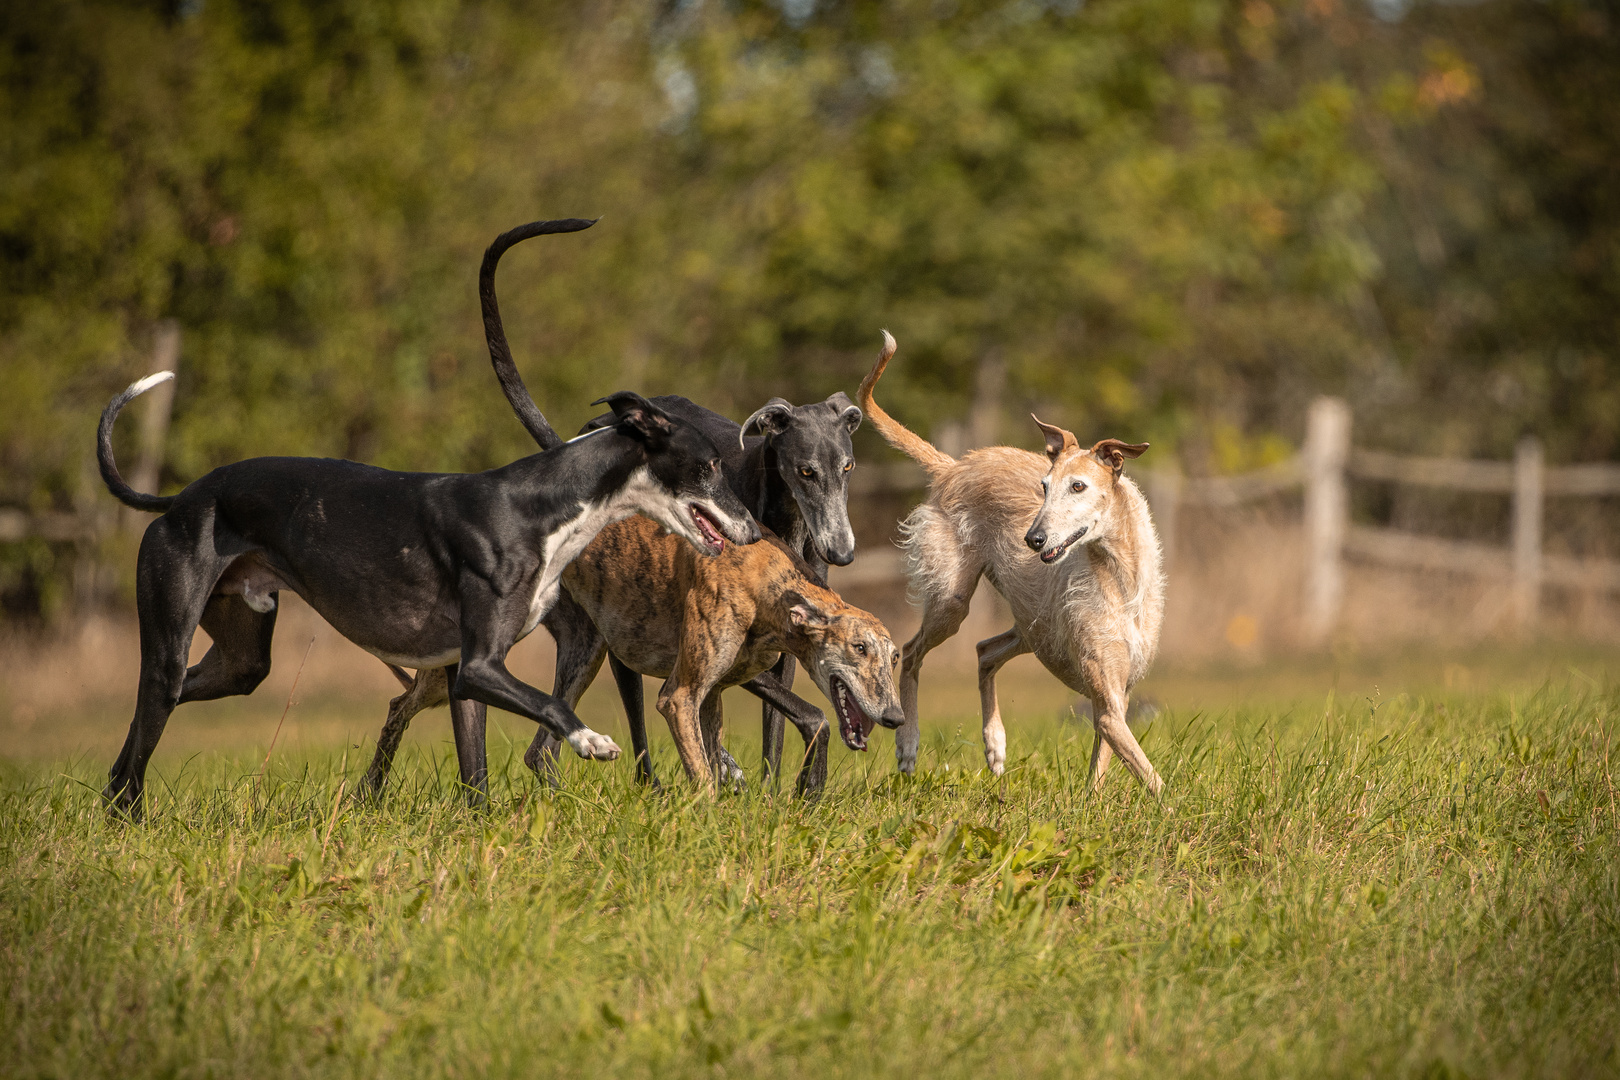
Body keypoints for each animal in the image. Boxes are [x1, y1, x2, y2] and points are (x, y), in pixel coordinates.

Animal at [861, 330, 1166, 793]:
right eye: (1044, 486)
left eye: (1078, 486)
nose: (1032, 539)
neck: (1119, 579)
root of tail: (954, 465)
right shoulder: (1108, 704)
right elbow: (1154, 779)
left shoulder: (1115, 699)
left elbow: (1104, 765)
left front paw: (1092, 802)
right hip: (953, 602)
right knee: (912, 653)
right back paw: (908, 744)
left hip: (1033, 631)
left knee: (984, 651)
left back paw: (995, 744)